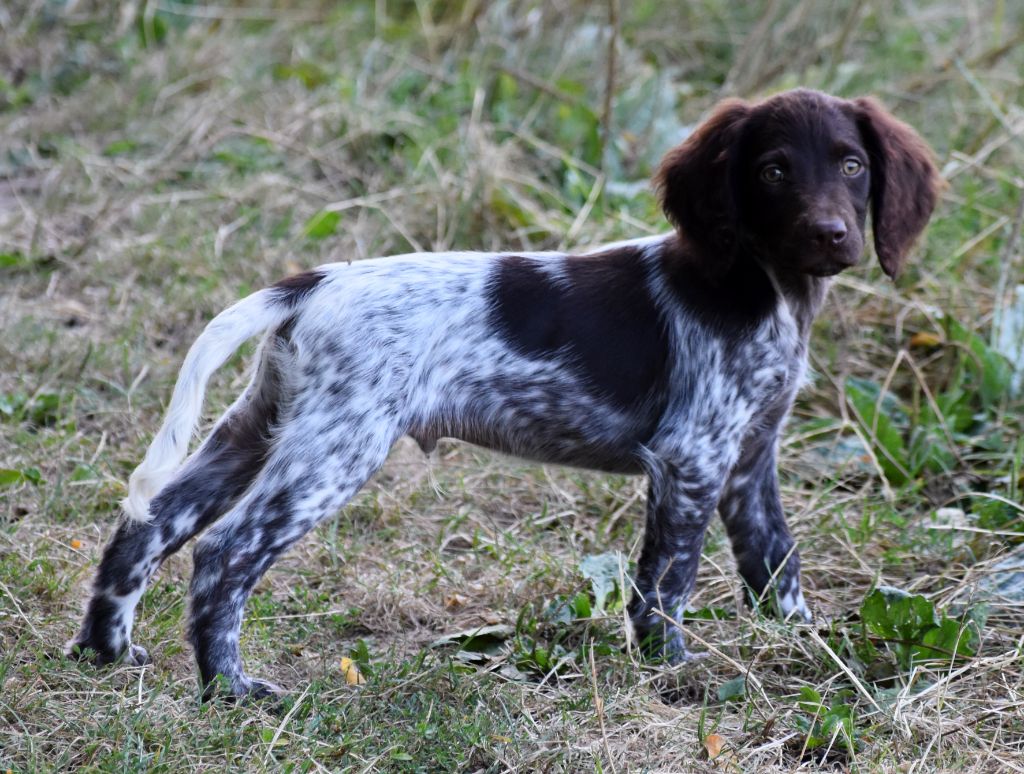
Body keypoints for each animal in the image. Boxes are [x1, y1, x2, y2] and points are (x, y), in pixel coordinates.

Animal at [68, 89, 939, 699]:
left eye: (853, 166)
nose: (831, 235)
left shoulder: (750, 460)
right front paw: (672, 674)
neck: (763, 288)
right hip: (335, 448)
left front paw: (802, 645)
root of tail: (311, 284)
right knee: (223, 554)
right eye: (773, 171)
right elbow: (667, 582)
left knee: (144, 528)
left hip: (259, 428)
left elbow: (776, 564)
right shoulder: (691, 458)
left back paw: (105, 653)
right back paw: (229, 688)